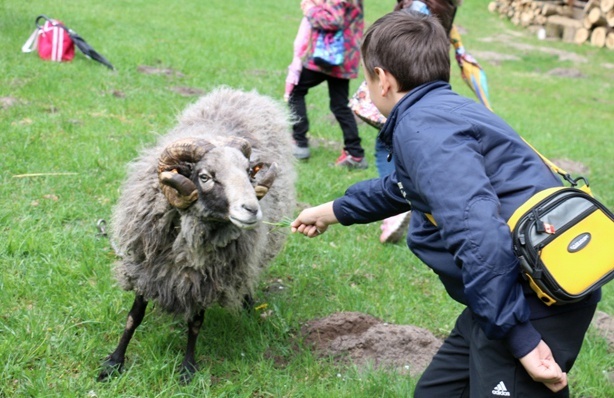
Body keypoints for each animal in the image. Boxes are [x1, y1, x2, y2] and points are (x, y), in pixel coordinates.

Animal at [97, 87, 298, 382]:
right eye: (205, 177)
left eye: (249, 174)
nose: (252, 210)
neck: (187, 241)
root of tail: (243, 93)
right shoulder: (146, 265)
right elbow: (134, 317)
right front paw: (113, 363)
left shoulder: (207, 277)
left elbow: (195, 323)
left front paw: (188, 369)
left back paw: (248, 304)